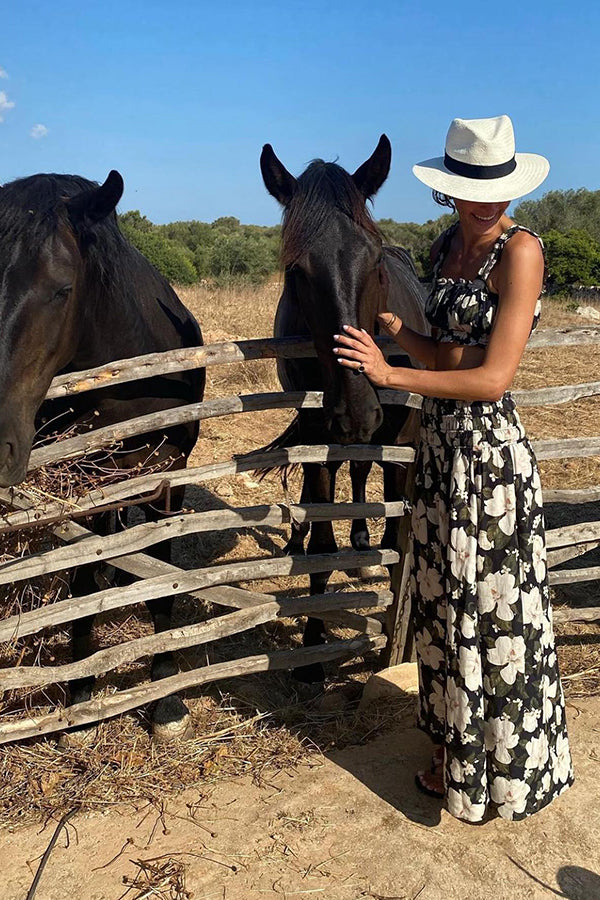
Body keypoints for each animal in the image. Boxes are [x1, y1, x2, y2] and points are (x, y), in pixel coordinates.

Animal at [0, 172, 205, 740]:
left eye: (63, 290)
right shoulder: (82, 484)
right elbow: (83, 583)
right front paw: (81, 694)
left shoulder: (169, 476)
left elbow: (164, 574)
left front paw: (166, 696)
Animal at [262, 135, 426, 684]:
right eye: (296, 271)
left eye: (374, 262)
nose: (357, 411)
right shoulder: (320, 438)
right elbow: (320, 551)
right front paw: (312, 649)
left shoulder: (401, 446)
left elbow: (398, 544)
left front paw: (402, 647)